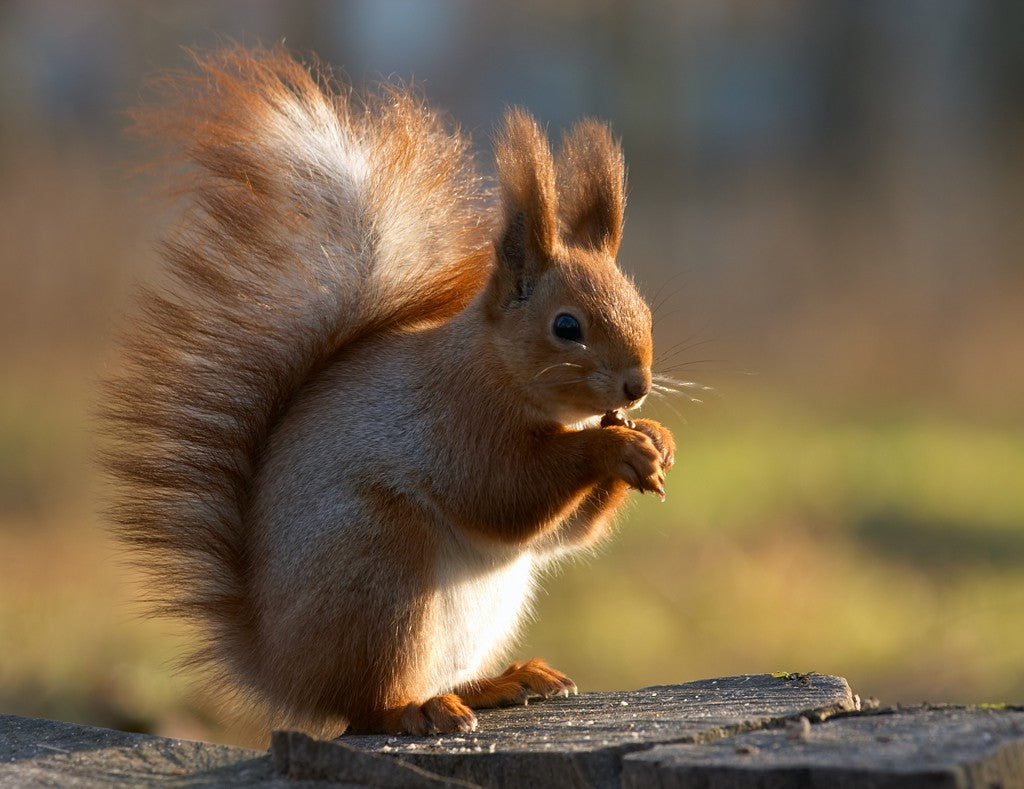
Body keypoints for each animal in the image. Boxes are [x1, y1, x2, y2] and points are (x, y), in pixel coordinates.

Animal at [102, 46, 675, 737]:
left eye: (644, 309)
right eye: (567, 327)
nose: (637, 387)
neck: (492, 367)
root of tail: (280, 668)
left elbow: (561, 536)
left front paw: (656, 439)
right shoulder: (456, 419)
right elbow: (504, 494)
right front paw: (614, 449)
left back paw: (501, 683)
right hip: (380, 566)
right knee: (366, 704)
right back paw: (417, 708)